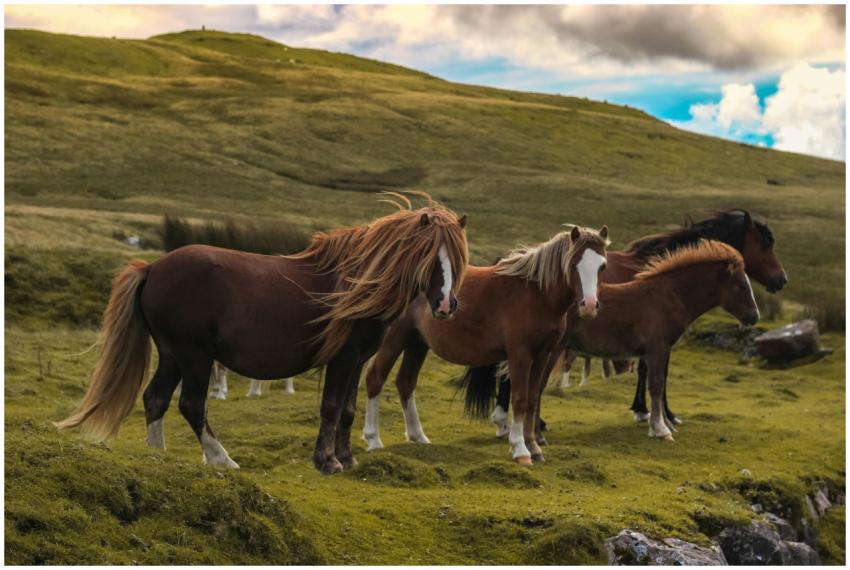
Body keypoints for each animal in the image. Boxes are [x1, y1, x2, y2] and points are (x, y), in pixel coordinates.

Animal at [56, 194, 469, 474]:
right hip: (194, 355)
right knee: (191, 404)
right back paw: (221, 459)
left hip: (173, 355)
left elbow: (348, 409)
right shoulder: (343, 358)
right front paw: (327, 461)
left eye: (457, 258)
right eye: (430, 257)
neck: (358, 284)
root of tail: (153, 269)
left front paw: (347, 458)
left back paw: (158, 457)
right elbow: (332, 407)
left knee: (155, 398)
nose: (446, 305)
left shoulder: (357, 360)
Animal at [361, 224, 610, 464]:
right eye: (574, 264)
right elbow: (519, 399)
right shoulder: (520, 355)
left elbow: (532, 399)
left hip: (417, 341)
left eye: (602, 266)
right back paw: (373, 440)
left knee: (406, 382)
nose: (589, 305)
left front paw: (533, 446)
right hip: (395, 337)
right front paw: (520, 449)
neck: (536, 294)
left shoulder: (542, 356)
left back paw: (418, 437)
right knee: (375, 378)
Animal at [489, 209, 786, 433]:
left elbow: (648, 371)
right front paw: (659, 415)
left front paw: (647, 412)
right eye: (765, 243)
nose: (782, 280)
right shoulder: (658, 341)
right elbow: (658, 375)